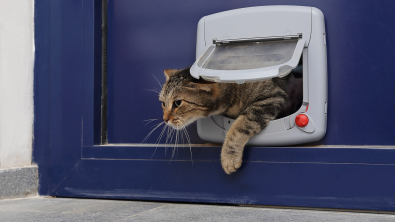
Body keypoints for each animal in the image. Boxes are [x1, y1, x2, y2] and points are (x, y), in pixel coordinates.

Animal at [159, 67, 300, 174]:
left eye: (177, 103)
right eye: (163, 103)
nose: (165, 119)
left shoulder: (271, 98)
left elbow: (238, 127)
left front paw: (229, 157)